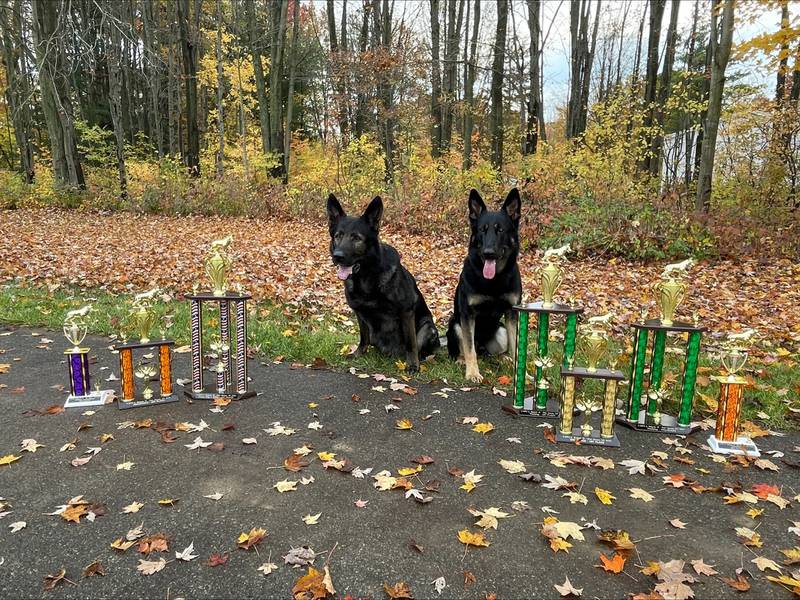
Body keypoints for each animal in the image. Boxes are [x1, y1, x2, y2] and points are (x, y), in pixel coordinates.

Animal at [326, 195, 440, 372]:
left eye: (356, 238)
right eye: (338, 235)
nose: (337, 256)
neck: (366, 277)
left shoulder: (407, 311)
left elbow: (411, 343)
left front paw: (413, 365)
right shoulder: (359, 312)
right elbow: (363, 337)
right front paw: (358, 353)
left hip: (428, 327)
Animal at [446, 190, 520, 382]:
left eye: (500, 230)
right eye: (482, 230)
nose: (488, 253)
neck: (494, 280)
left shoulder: (512, 313)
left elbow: (516, 347)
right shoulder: (467, 315)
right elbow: (469, 348)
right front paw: (473, 373)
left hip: (501, 331)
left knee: (497, 352)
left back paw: (504, 358)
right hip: (456, 325)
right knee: (467, 349)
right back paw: (461, 360)